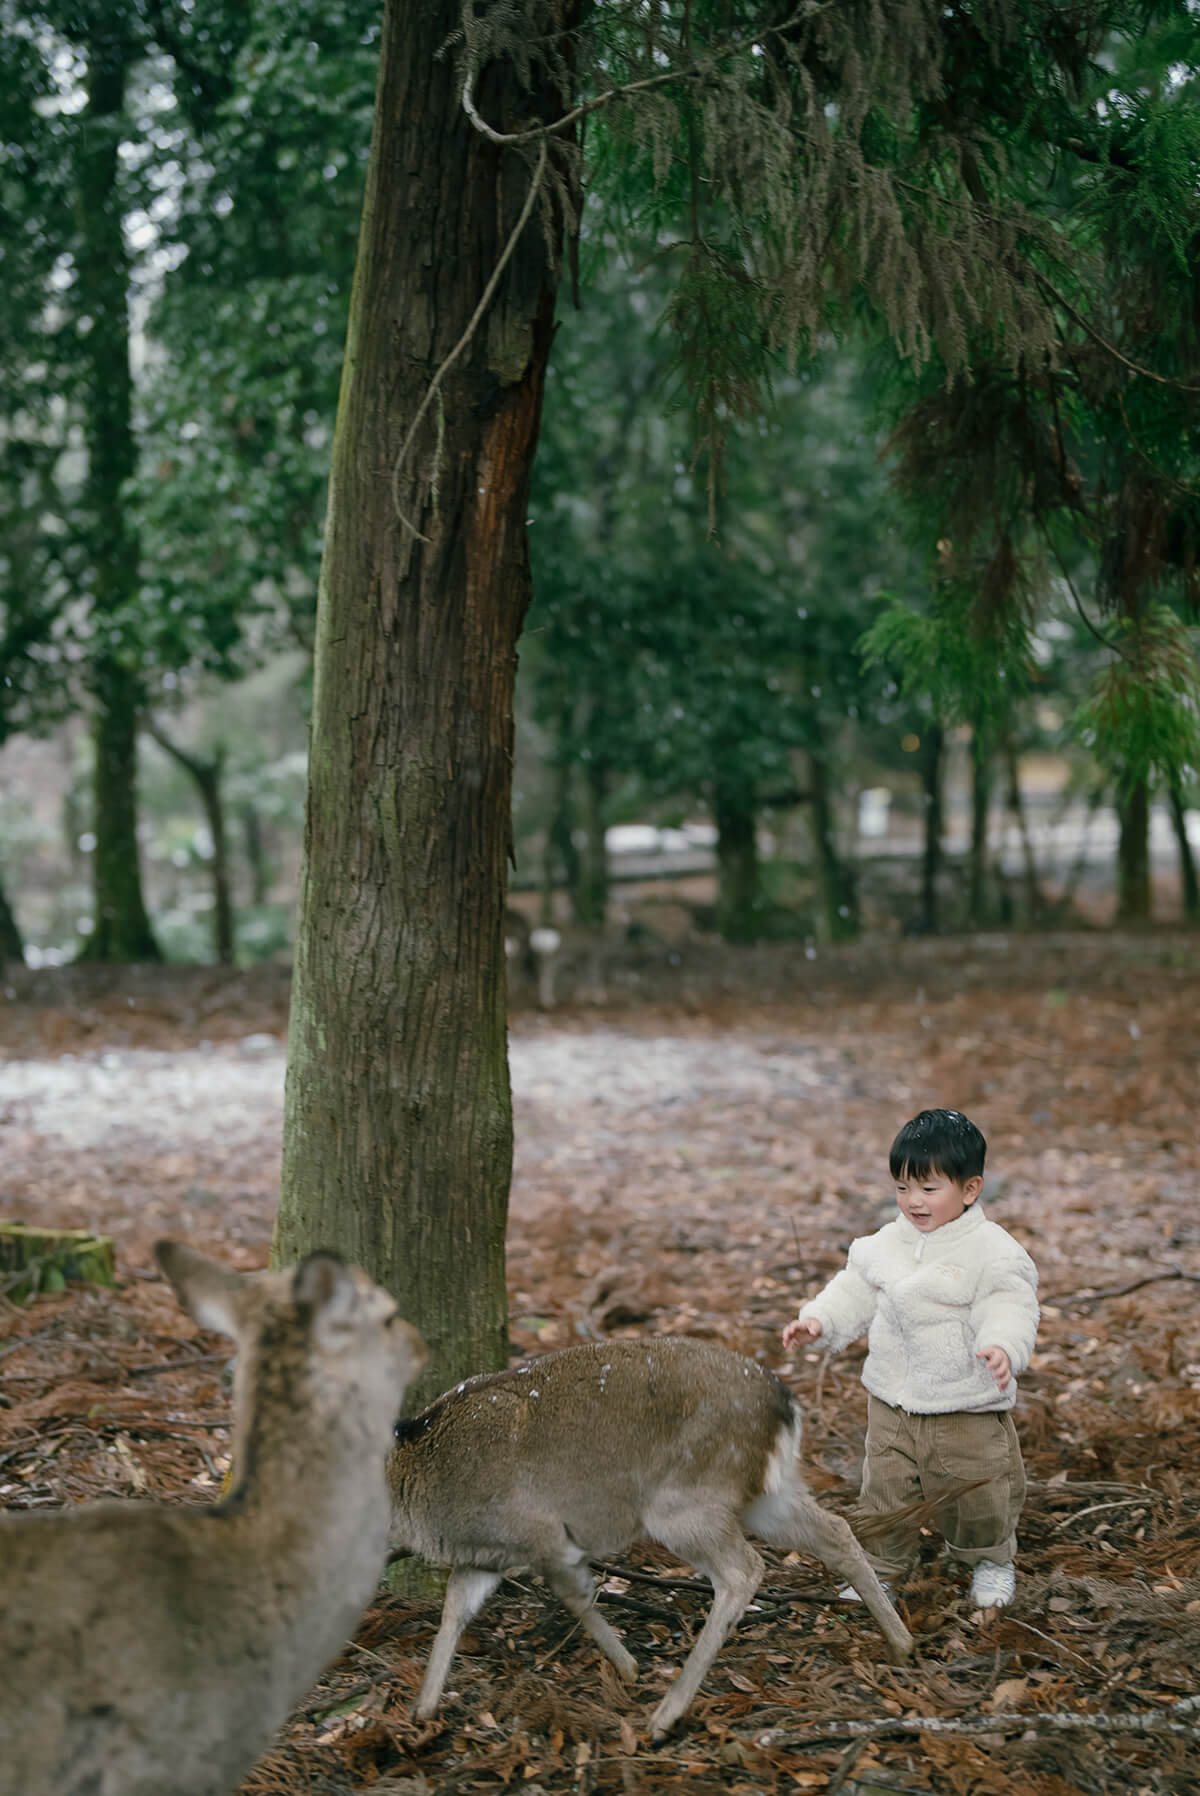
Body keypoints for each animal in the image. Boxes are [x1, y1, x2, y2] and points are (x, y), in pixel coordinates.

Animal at [389, 1336, 912, 1738]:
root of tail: (786, 1404)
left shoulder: (542, 1536)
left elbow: (575, 1597)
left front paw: (629, 1668)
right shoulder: (484, 1556)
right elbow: (454, 1611)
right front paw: (423, 1709)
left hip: (682, 1502)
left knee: (743, 1570)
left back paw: (666, 1714)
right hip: (768, 1492)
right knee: (835, 1530)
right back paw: (902, 1642)